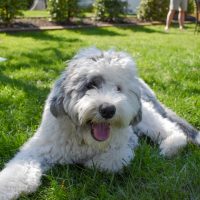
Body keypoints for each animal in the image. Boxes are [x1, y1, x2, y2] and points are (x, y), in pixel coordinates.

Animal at [0, 47, 200, 198]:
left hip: (145, 116)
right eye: (90, 85)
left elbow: (108, 161)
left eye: (118, 88)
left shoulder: (125, 145)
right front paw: (6, 189)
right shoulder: (38, 148)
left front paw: (89, 162)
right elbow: (19, 168)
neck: (83, 138)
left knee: (169, 127)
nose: (108, 110)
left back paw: (171, 145)